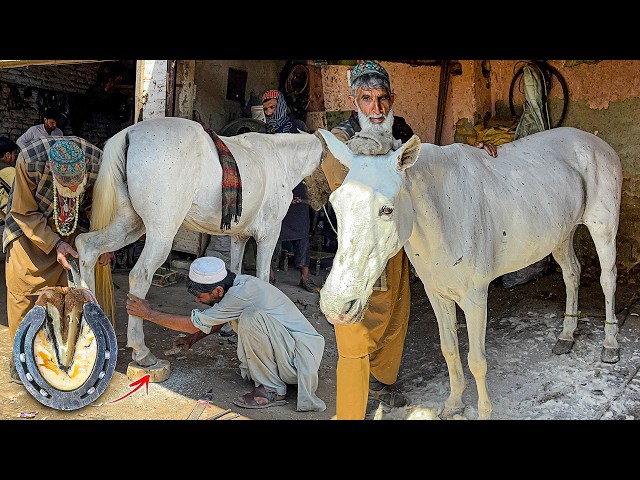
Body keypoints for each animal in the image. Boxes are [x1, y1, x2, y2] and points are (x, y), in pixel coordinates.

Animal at [74, 117, 325, 368]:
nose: (318, 207)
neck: (277, 158)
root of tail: (130, 133)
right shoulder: (269, 233)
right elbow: (263, 278)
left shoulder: (239, 236)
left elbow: (235, 273)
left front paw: (227, 327)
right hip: (160, 232)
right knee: (140, 275)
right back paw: (141, 351)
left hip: (130, 224)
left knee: (87, 248)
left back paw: (89, 329)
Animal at [316, 126, 622, 420]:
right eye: (335, 205)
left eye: (387, 209)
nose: (336, 305)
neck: (445, 213)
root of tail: (598, 144)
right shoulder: (437, 294)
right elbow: (450, 350)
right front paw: (453, 404)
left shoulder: (475, 298)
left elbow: (477, 360)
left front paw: (484, 412)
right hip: (561, 234)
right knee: (571, 273)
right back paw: (566, 337)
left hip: (603, 230)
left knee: (607, 280)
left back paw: (610, 344)